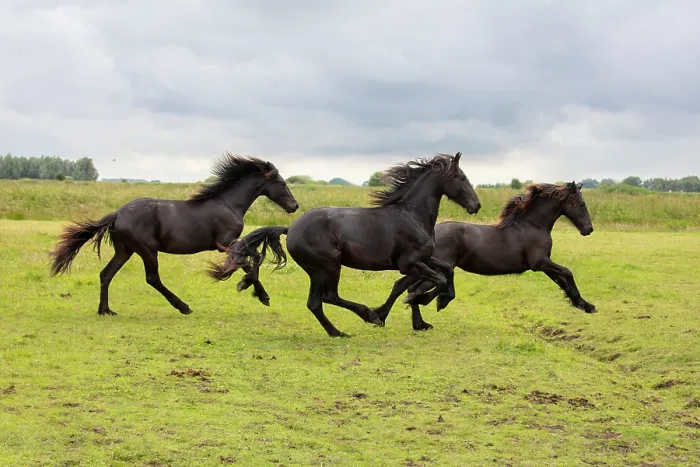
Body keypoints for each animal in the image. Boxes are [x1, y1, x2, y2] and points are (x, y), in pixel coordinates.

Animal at [49, 152, 299, 316]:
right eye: (282, 183)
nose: (294, 206)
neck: (229, 205)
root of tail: (117, 213)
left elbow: (250, 261)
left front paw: (251, 289)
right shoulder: (226, 243)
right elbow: (250, 262)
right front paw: (257, 292)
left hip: (125, 250)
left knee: (106, 274)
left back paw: (105, 310)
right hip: (147, 250)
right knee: (152, 278)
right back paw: (183, 307)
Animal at [207, 152, 481, 337]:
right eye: (461, 177)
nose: (476, 205)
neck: (412, 216)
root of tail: (290, 229)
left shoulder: (423, 260)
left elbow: (445, 270)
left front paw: (429, 303)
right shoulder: (409, 263)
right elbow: (437, 279)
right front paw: (425, 300)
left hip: (317, 271)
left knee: (315, 303)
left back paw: (337, 332)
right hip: (329, 265)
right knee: (329, 296)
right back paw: (367, 315)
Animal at [373, 181, 597, 331]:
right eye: (582, 204)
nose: (588, 229)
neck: (532, 225)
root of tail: (429, 233)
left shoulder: (544, 265)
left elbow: (562, 281)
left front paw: (583, 305)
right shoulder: (540, 263)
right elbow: (567, 273)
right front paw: (586, 305)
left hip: (424, 267)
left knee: (407, 287)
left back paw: (417, 322)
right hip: (430, 267)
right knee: (412, 288)